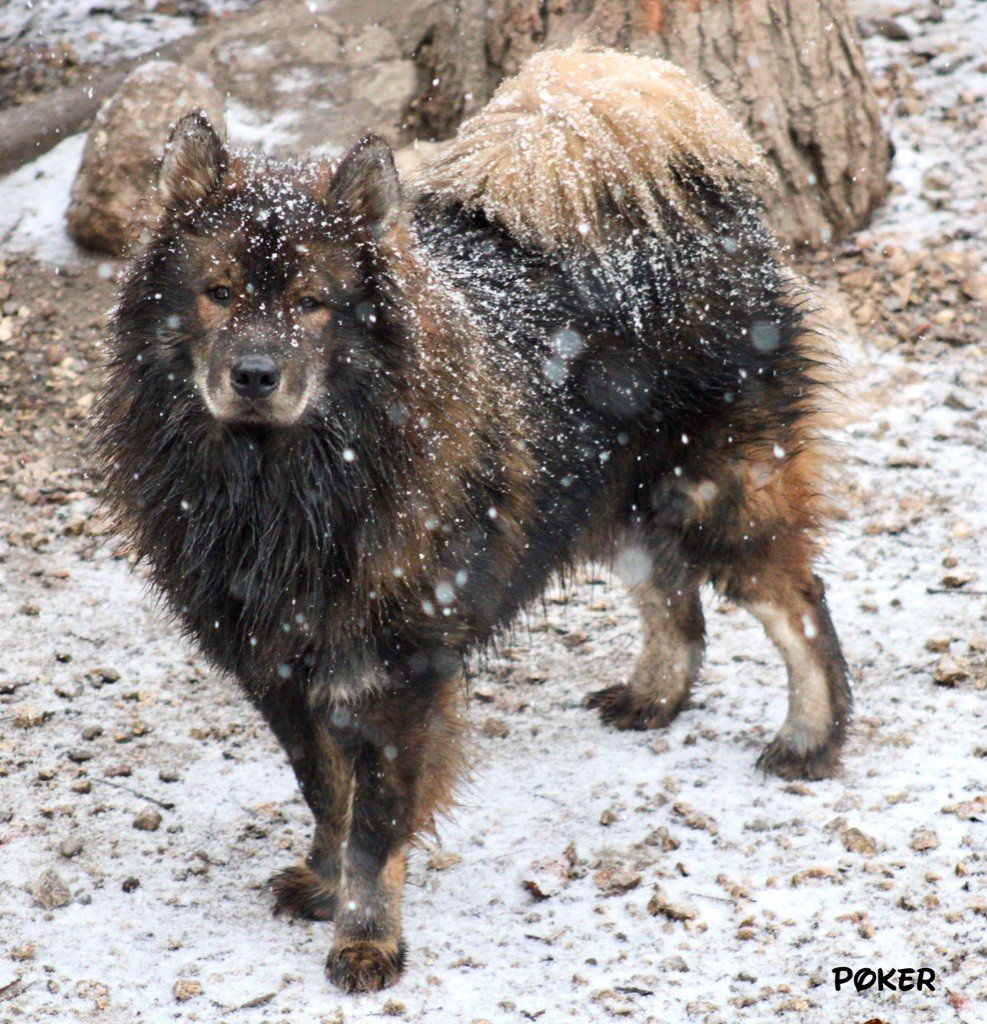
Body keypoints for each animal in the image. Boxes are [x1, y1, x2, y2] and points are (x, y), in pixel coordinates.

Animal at [90, 49, 847, 991]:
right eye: (217, 293)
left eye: (311, 302)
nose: (254, 375)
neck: (285, 485)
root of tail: (699, 209)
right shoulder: (278, 669)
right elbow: (325, 794)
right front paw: (324, 881)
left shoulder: (396, 673)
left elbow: (376, 828)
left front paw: (367, 938)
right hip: (610, 494)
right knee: (673, 597)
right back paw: (655, 695)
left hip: (718, 491)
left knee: (796, 605)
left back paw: (811, 738)